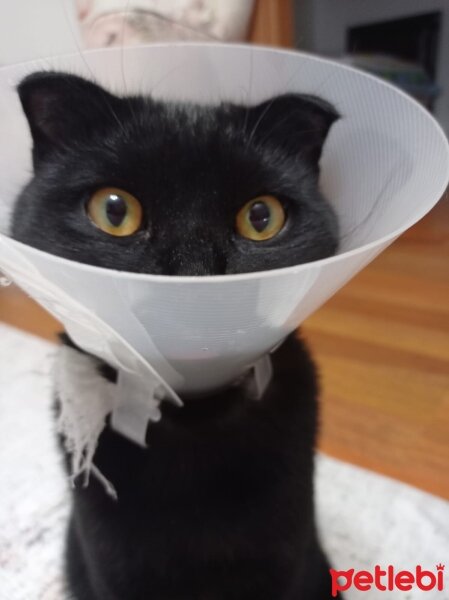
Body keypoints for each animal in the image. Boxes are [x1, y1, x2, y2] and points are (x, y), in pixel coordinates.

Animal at [11, 72, 340, 596]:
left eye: (261, 217)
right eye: (114, 211)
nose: (194, 277)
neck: (193, 417)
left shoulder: (283, 561)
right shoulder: (113, 570)